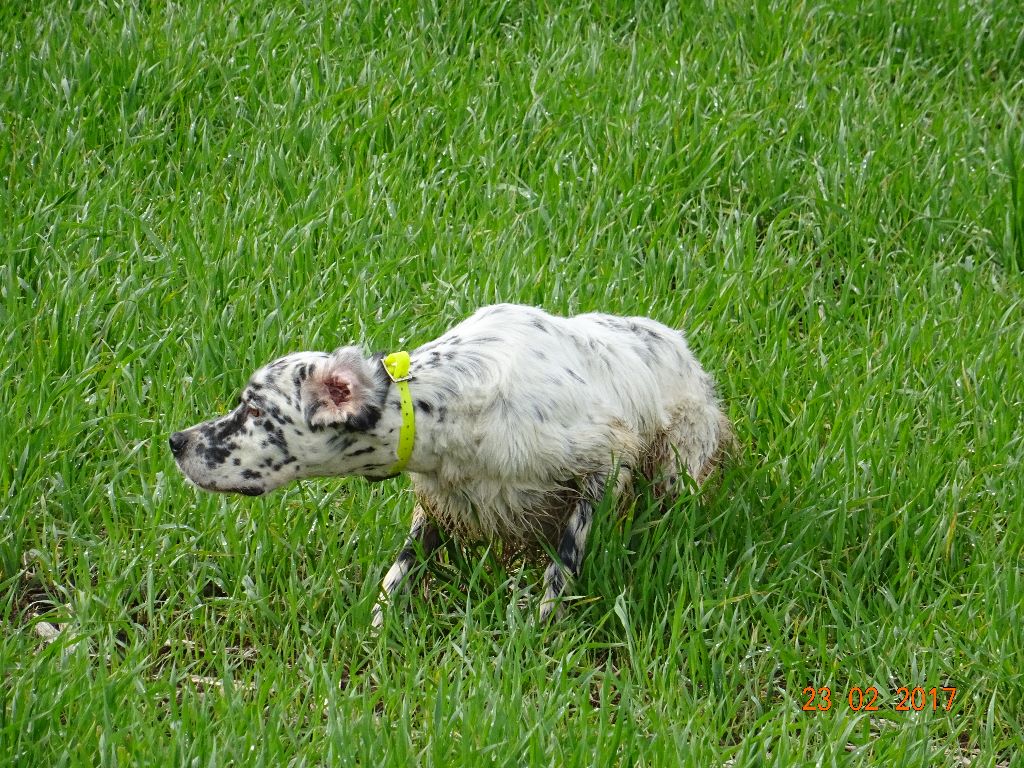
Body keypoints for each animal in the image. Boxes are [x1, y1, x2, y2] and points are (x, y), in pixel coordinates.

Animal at [167, 303, 733, 626]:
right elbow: (398, 573)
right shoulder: (442, 501)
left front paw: (541, 626)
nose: (176, 441)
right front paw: (378, 626)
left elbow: (565, 560)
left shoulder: (602, 457)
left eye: (255, 410)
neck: (448, 409)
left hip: (678, 460)